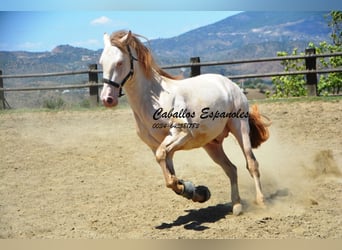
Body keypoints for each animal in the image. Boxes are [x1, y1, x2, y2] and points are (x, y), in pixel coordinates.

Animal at [99, 30, 270, 215]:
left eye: (119, 62)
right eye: (101, 63)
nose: (107, 99)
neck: (153, 99)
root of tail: (230, 83)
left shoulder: (181, 133)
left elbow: (164, 161)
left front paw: (193, 190)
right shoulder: (156, 145)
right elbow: (169, 175)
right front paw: (196, 192)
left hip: (240, 128)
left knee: (252, 164)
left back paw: (261, 201)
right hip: (211, 144)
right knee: (231, 169)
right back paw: (236, 205)